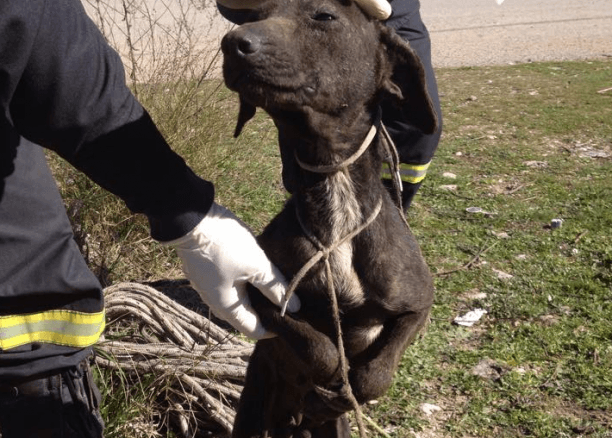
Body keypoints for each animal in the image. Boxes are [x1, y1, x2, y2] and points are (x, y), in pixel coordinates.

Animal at [222, 1, 438, 436]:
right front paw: (327, 377)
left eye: (323, 16)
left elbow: (374, 376)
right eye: (256, 15)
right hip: (251, 406)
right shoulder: (257, 290)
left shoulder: (419, 304)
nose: (232, 43)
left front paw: (346, 391)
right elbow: (318, 347)